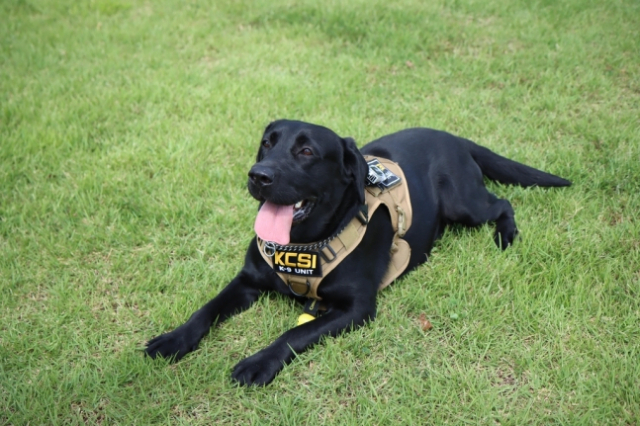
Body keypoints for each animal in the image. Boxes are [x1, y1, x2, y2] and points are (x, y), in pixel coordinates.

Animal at [146, 119, 568, 386]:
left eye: (306, 150)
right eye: (267, 142)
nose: (258, 175)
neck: (303, 243)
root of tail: (457, 139)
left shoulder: (356, 309)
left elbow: (295, 333)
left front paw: (258, 363)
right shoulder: (247, 279)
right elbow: (207, 309)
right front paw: (174, 339)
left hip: (465, 203)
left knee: (503, 204)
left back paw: (506, 235)